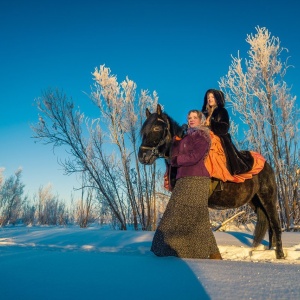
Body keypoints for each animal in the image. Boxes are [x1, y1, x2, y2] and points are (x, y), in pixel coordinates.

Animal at [138, 103, 284, 258]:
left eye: (156, 128)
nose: (142, 156)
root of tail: (267, 165)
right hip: (255, 202)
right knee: (270, 225)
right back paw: (270, 251)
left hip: (267, 199)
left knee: (275, 224)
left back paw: (279, 254)